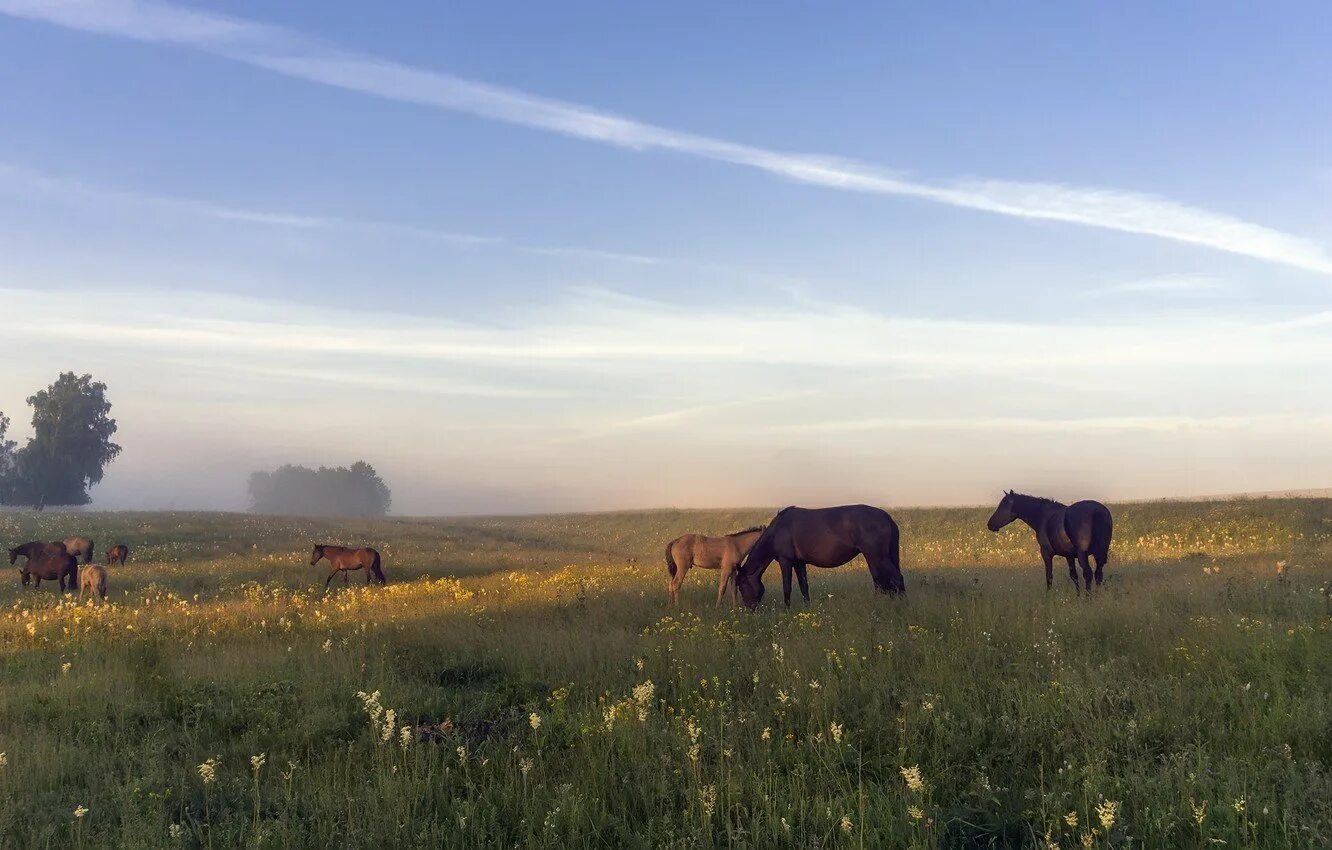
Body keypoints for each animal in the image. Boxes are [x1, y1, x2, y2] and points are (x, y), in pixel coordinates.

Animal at [729, 503, 905, 610]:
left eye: (741, 586)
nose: (750, 609)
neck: (777, 531)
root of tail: (886, 516)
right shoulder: (799, 562)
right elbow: (803, 586)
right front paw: (807, 609)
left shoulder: (786, 561)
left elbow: (787, 587)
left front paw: (787, 610)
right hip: (876, 556)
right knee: (882, 580)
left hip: (877, 555)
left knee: (895, 578)